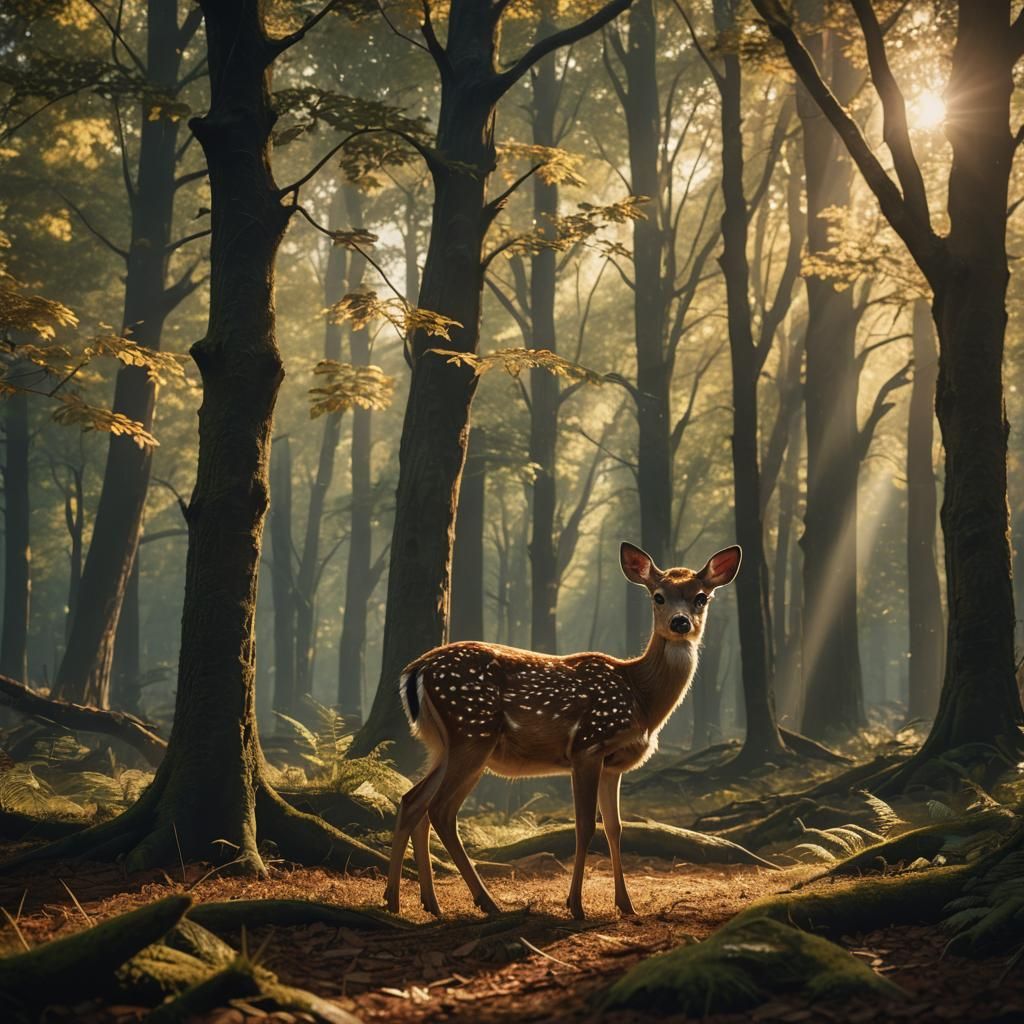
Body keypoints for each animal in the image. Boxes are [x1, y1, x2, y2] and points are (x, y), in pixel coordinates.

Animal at [384, 541, 741, 920]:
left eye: (701, 597)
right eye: (658, 596)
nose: (680, 622)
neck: (640, 696)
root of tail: (415, 669)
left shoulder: (613, 766)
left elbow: (615, 828)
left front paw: (625, 904)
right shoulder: (588, 746)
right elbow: (584, 826)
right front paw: (576, 905)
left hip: (443, 744)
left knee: (413, 801)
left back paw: (411, 902)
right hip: (472, 733)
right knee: (439, 809)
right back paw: (484, 901)